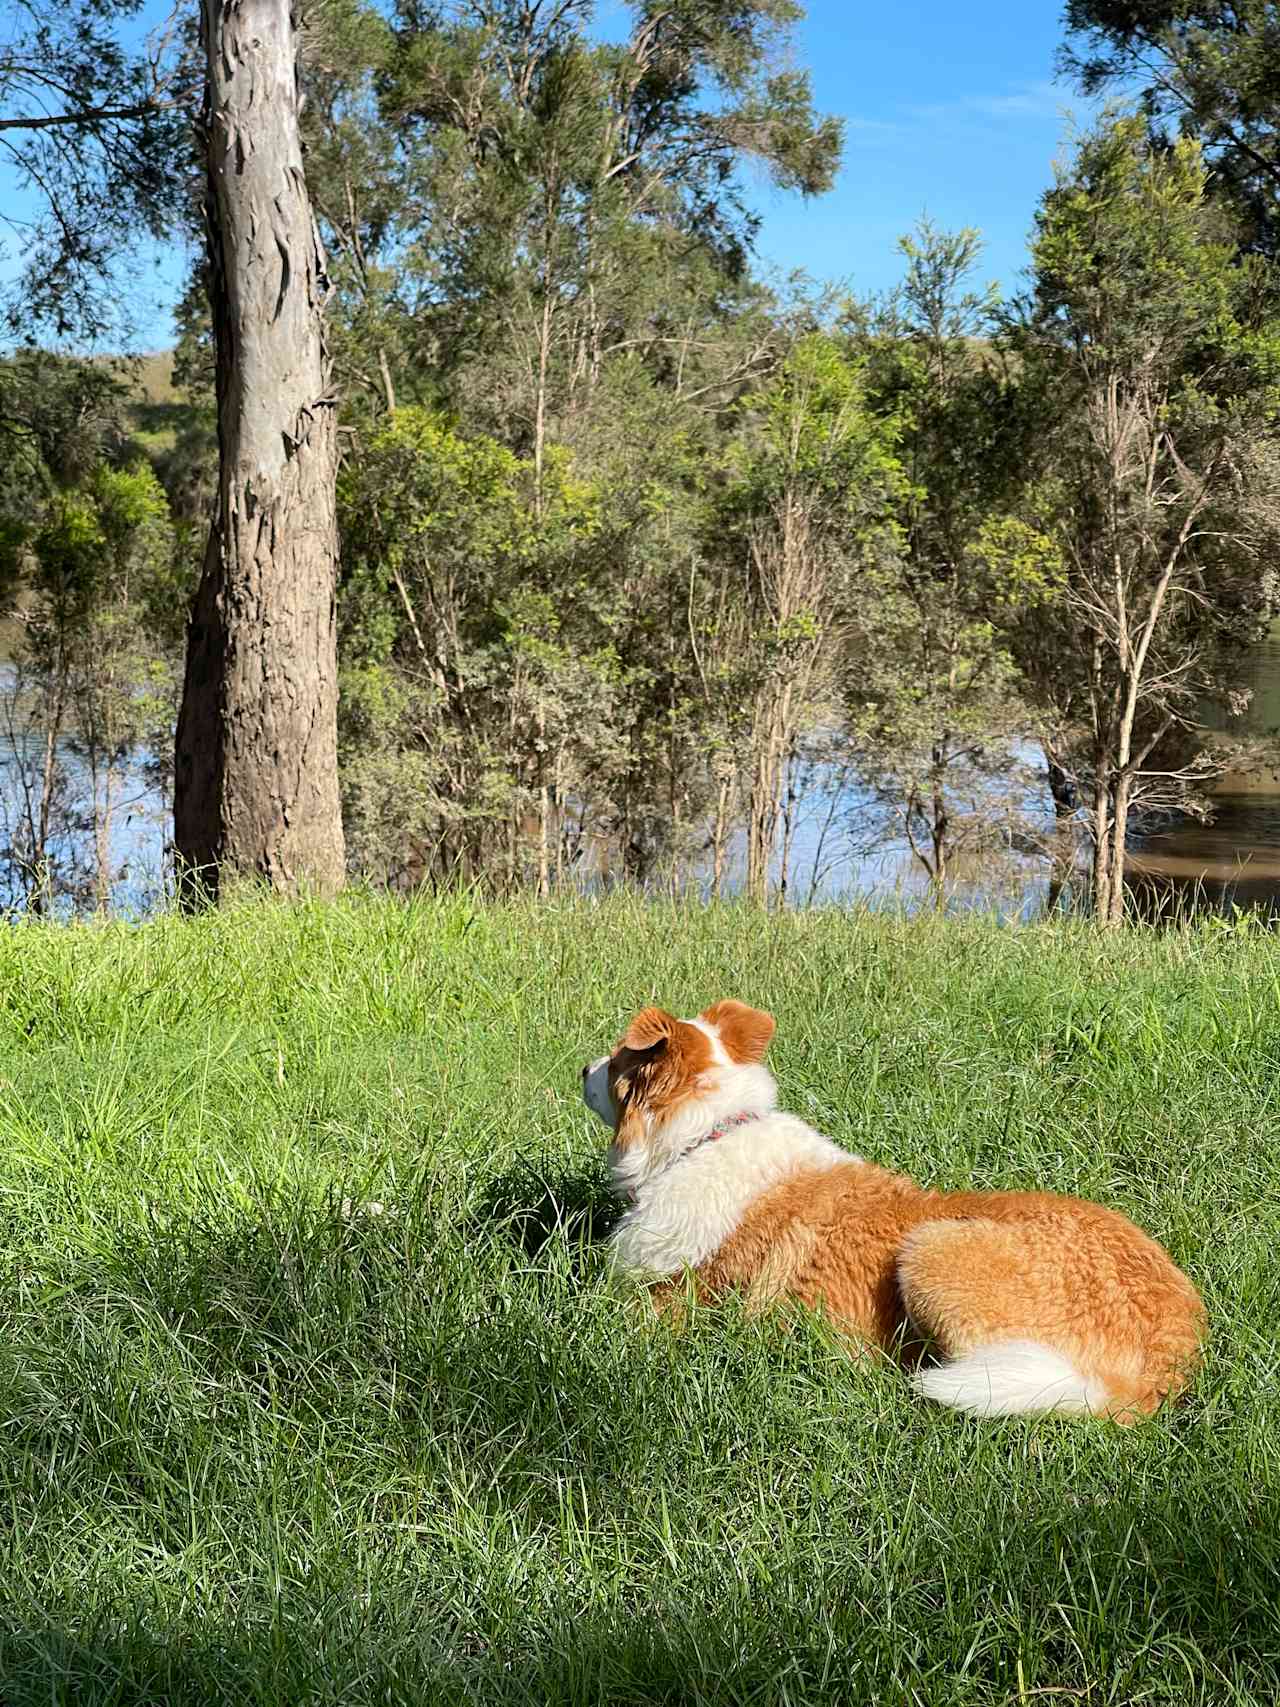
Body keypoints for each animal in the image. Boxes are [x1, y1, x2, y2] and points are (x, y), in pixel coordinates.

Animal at [587, 996, 1208, 1413]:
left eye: (616, 1060)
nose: (581, 1067)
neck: (706, 1136)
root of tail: (1163, 1364)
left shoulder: (655, 1307)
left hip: (932, 1251)